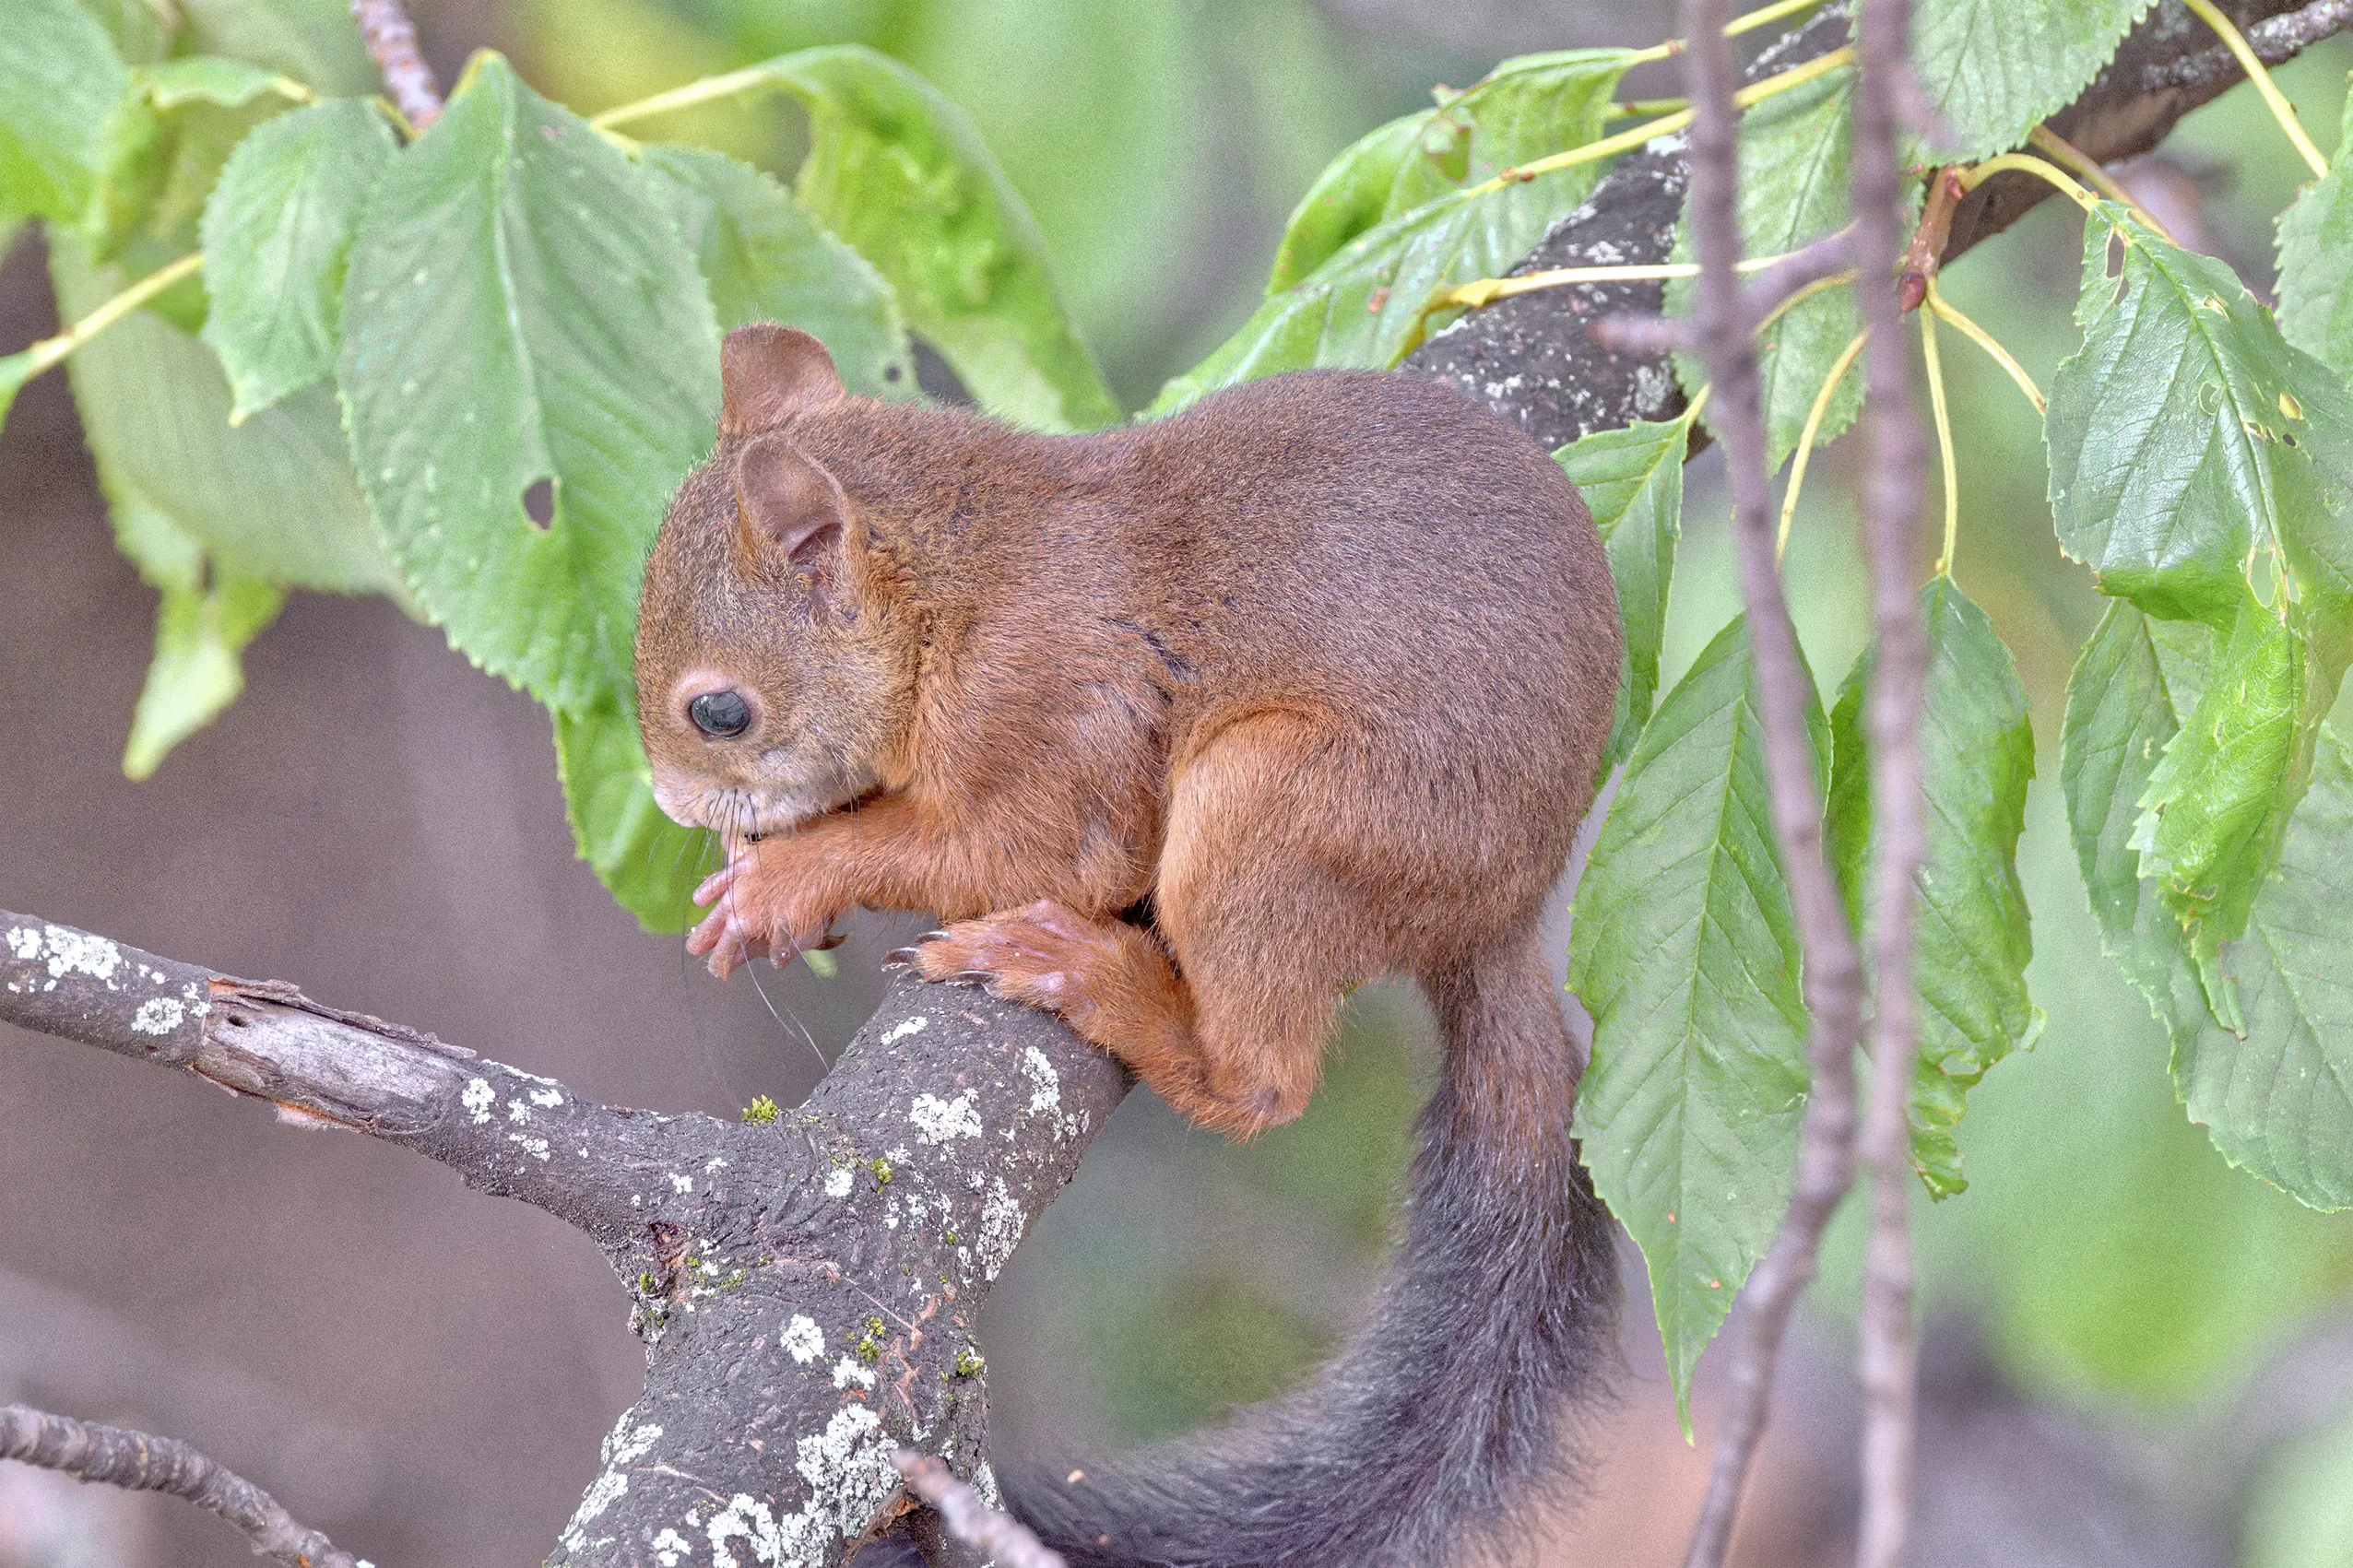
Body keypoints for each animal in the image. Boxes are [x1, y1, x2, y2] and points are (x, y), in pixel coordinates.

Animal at [634, 322, 1624, 1567]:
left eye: (719, 712)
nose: (671, 806)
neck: (956, 584)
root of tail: (1497, 914)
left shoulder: (1050, 709)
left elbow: (1042, 852)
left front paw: (779, 883)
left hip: (1276, 811)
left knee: (1259, 1085)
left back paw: (1089, 977)